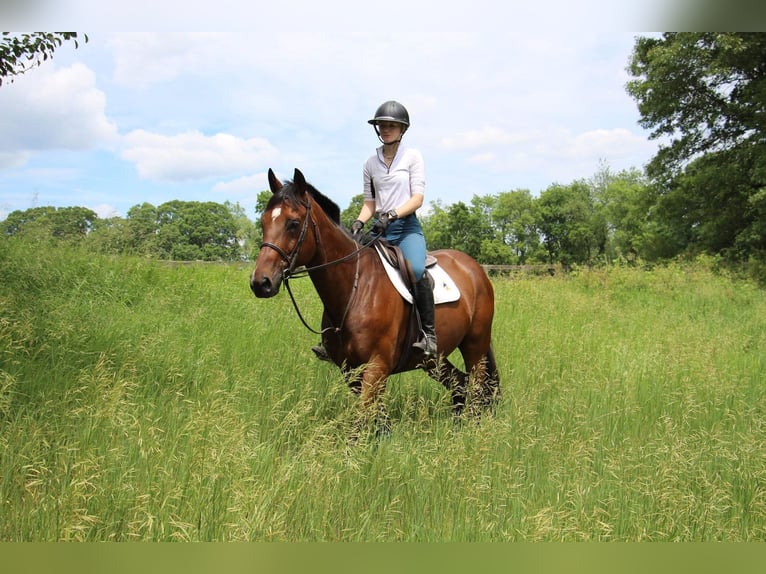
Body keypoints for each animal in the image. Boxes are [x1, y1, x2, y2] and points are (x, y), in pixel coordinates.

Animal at [252, 169, 500, 430]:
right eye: (263, 222)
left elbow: (361, 420)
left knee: (476, 386)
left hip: (475, 344)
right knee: (459, 384)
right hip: (433, 360)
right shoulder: (350, 370)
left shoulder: (377, 365)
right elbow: (376, 418)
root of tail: (474, 268)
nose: (261, 282)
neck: (356, 288)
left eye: (293, 223)